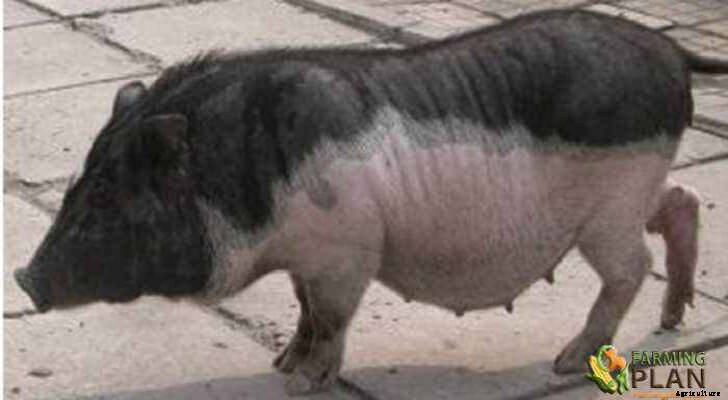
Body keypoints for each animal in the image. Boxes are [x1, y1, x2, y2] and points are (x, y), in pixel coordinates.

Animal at [15, 9, 721, 395]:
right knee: (683, 201)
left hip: (609, 209)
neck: (246, 174)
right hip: (636, 193)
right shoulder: (309, 257)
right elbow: (303, 309)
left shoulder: (344, 250)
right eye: (81, 179)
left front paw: (300, 381)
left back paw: (570, 360)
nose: (23, 277)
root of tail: (669, 50)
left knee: (630, 267)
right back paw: (673, 320)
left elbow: (330, 317)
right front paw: (281, 360)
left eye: (110, 193)